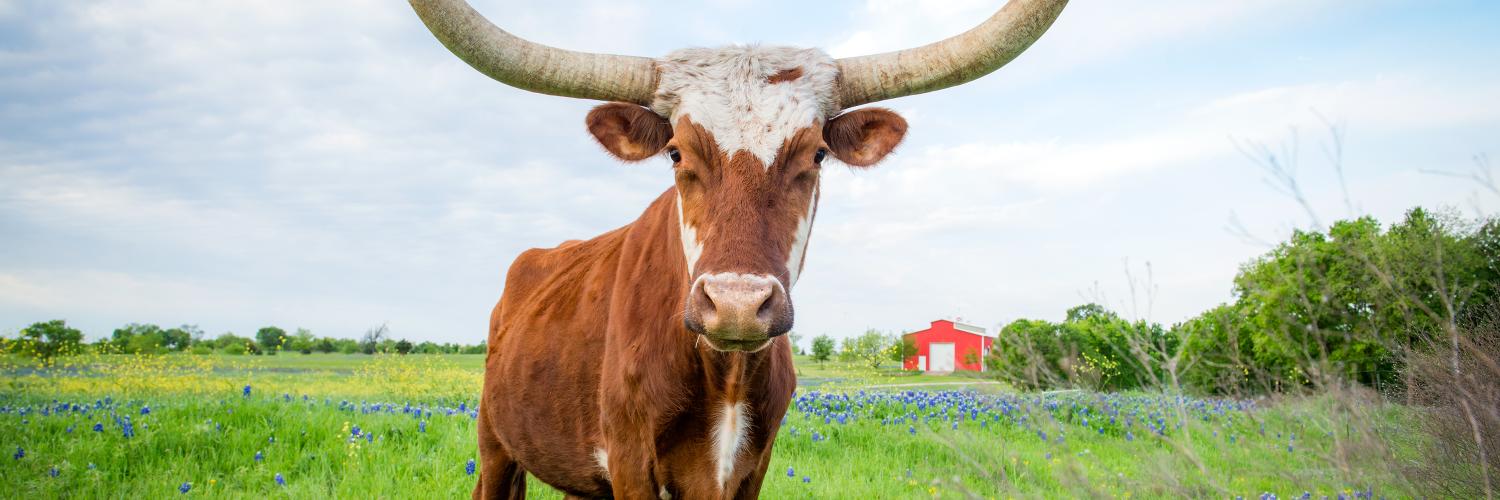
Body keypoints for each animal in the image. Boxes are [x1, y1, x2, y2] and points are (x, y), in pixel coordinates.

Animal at [411, 1, 1068, 495]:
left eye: (817, 154)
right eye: (676, 151)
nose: (735, 304)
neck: (724, 374)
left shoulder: (752, 466)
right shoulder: (628, 461)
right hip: (495, 445)